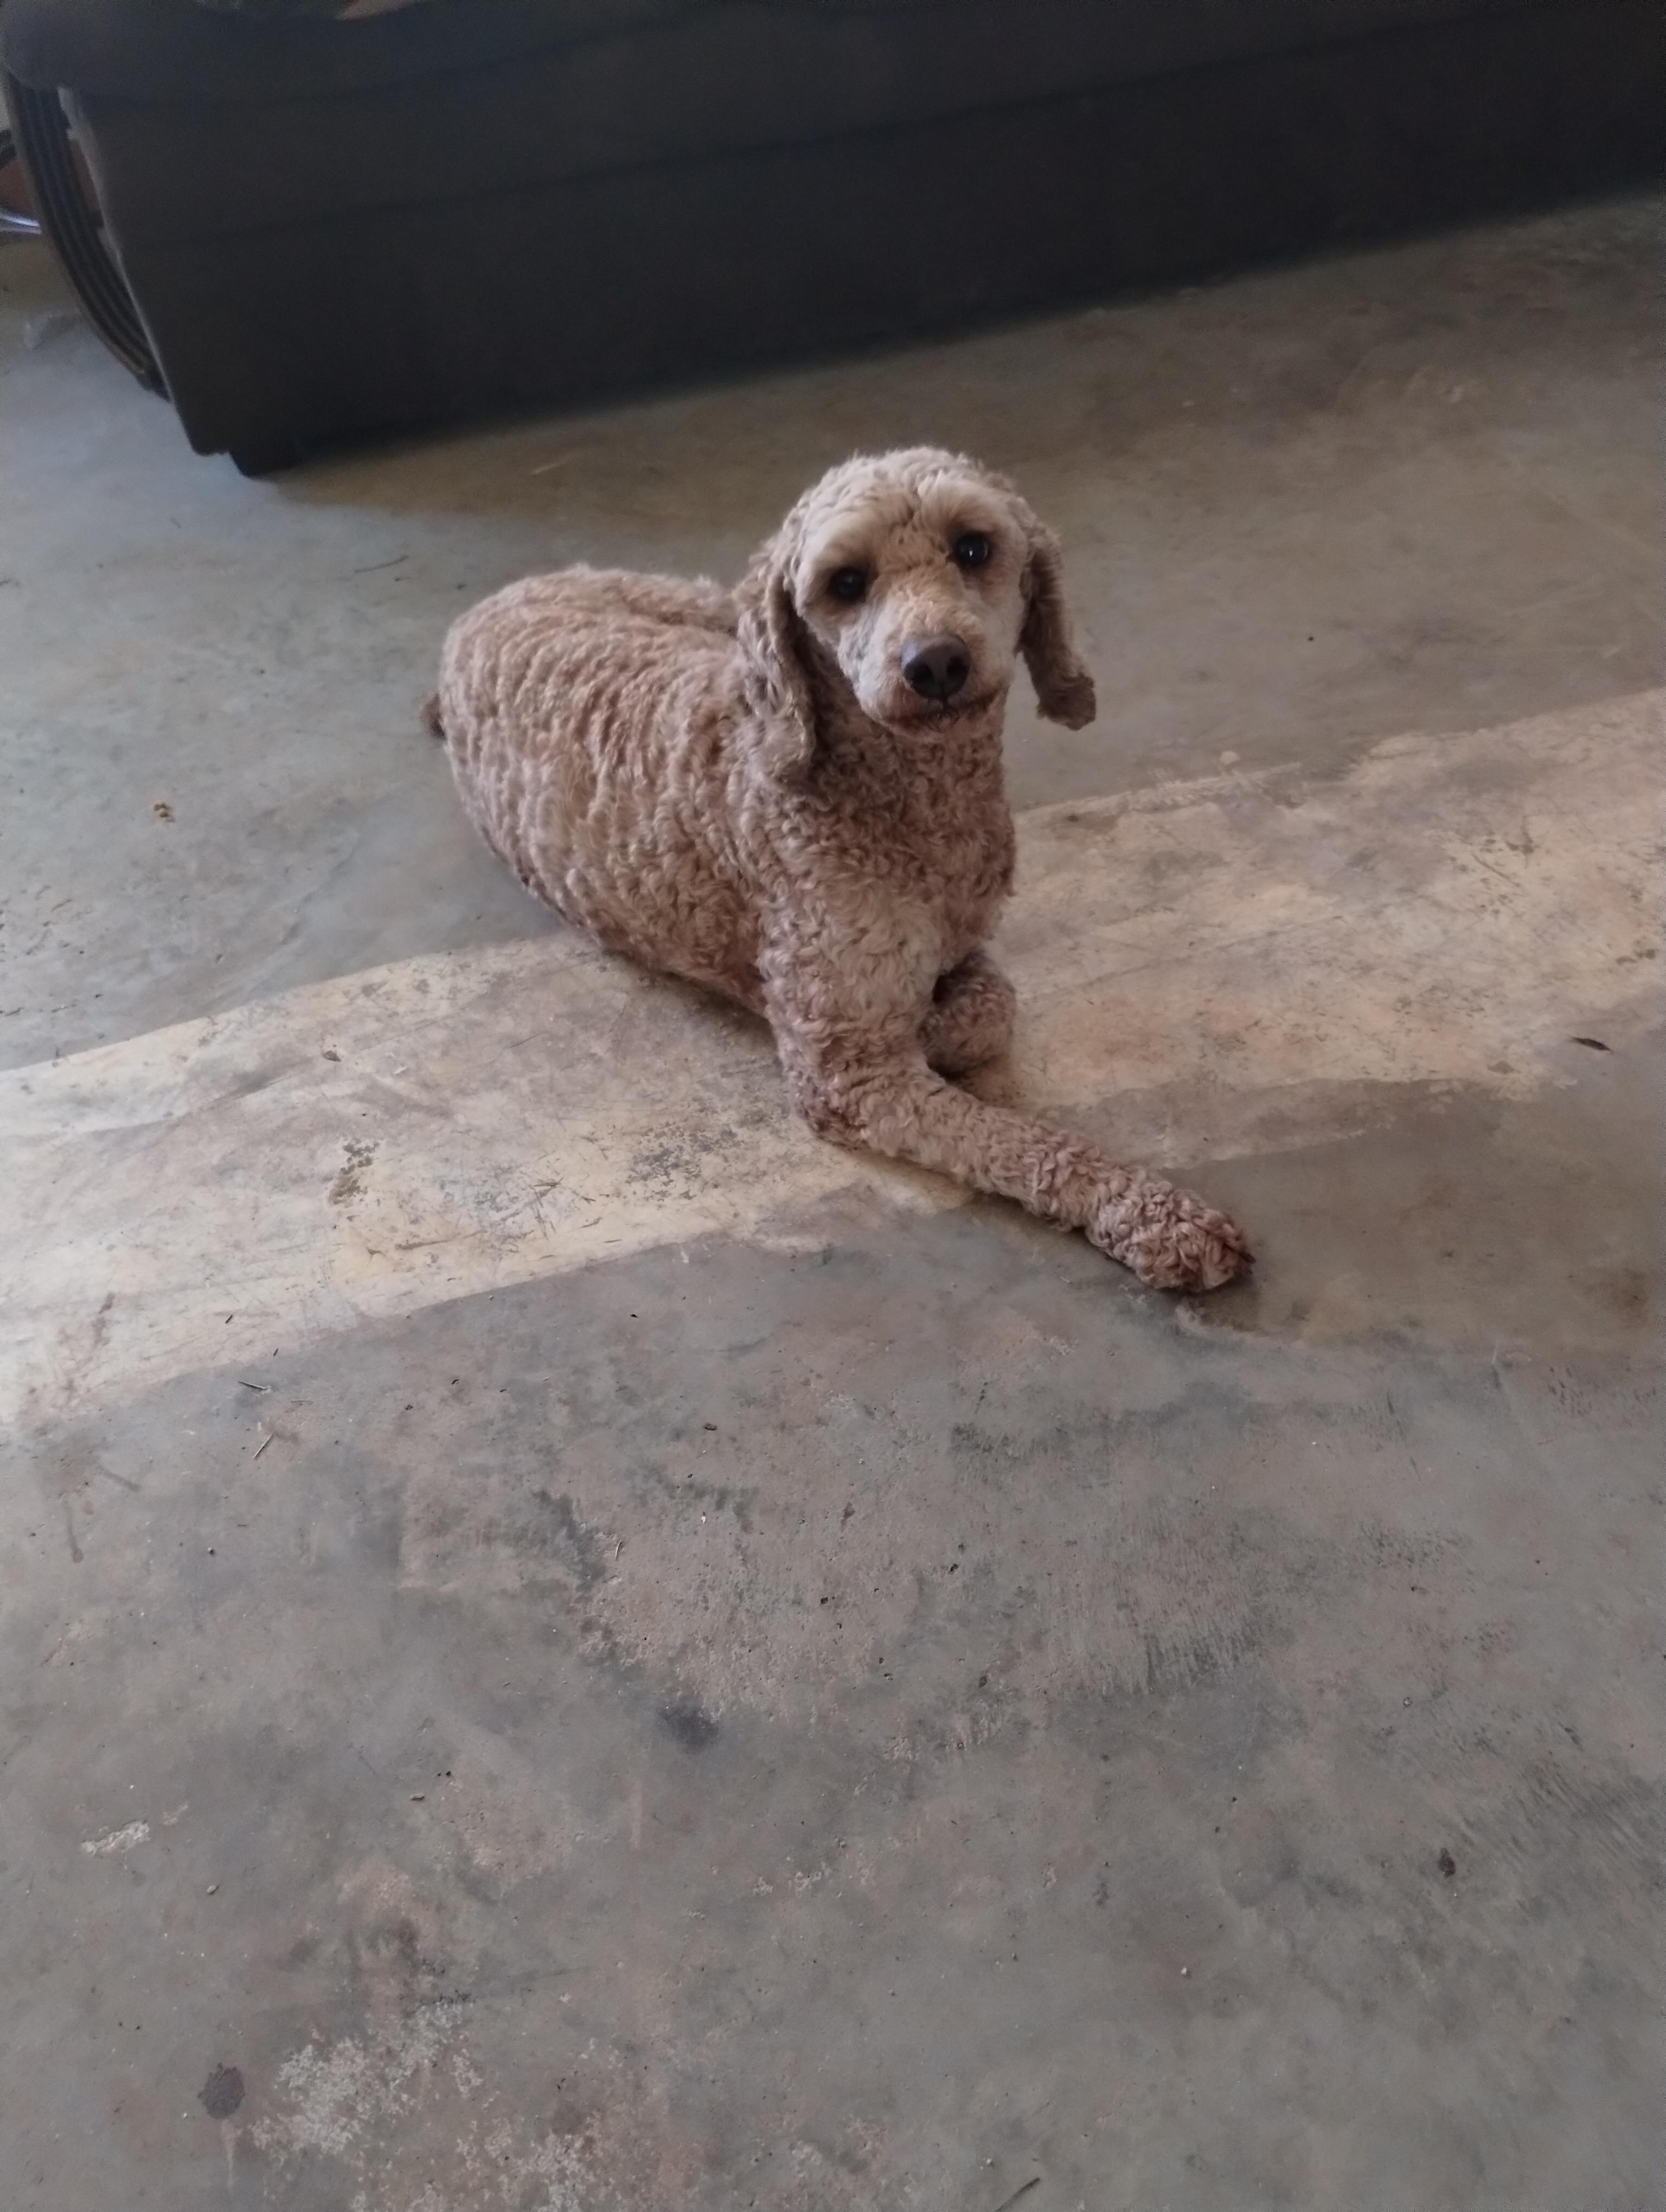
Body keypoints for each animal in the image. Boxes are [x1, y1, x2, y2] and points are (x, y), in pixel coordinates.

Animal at [430, 447, 1250, 1292]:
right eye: (846, 582)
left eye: (974, 547)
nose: (935, 663)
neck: (896, 800)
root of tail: (475, 618)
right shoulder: (852, 1075)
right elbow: (1018, 1138)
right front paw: (1154, 1214)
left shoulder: (959, 946)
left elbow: (995, 1003)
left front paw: (941, 1018)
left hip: (701, 605)